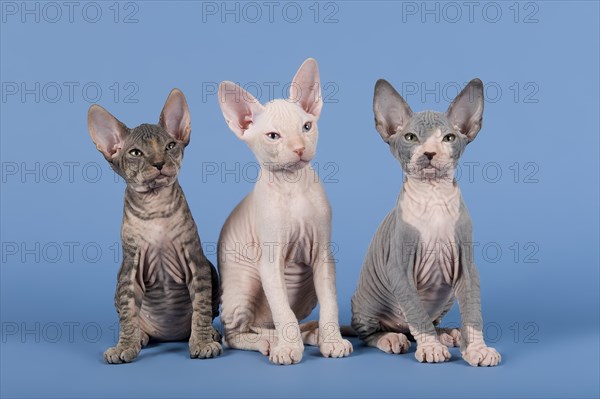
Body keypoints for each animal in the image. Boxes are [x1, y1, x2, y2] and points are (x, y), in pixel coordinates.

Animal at [88, 89, 221, 364]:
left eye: (170, 146)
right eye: (136, 153)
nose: (159, 163)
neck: (155, 206)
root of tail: (170, 336)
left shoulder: (197, 263)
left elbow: (201, 307)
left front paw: (202, 342)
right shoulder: (129, 269)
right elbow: (127, 314)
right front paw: (125, 345)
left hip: (211, 270)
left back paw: (209, 333)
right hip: (117, 280)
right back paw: (141, 335)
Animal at [218, 57, 354, 368]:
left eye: (306, 126)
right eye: (273, 136)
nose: (300, 149)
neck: (293, 186)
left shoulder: (323, 255)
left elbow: (330, 303)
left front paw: (332, 340)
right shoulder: (269, 260)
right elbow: (283, 310)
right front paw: (288, 348)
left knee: (268, 323)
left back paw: (310, 333)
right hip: (243, 287)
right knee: (234, 334)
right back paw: (270, 341)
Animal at [352, 79, 502, 368]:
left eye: (449, 138)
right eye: (410, 138)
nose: (430, 153)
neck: (433, 198)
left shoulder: (467, 267)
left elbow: (473, 312)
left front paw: (477, 349)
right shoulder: (399, 270)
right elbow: (416, 313)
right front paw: (431, 347)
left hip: (446, 298)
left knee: (426, 323)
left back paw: (446, 333)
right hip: (368, 304)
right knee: (371, 333)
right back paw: (391, 338)